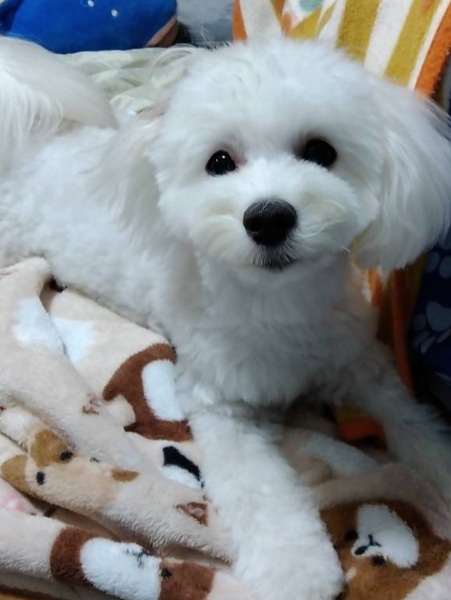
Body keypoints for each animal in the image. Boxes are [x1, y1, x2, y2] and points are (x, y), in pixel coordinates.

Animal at [1, 35, 451, 600]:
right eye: (218, 162)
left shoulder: (359, 361)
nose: (269, 218)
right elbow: (262, 492)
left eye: (321, 151)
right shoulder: (222, 405)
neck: (278, 303)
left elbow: (414, 423)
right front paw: (295, 569)